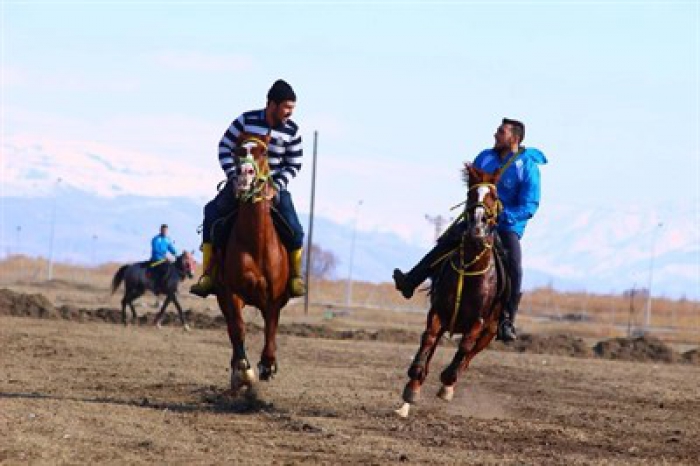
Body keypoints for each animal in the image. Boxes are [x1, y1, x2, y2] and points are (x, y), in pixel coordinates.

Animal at [213, 133, 290, 392]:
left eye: (264, 152)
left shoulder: (274, 297)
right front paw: (244, 371)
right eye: (238, 150)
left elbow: (271, 328)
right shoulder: (231, 292)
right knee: (231, 327)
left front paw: (267, 364)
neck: (255, 243)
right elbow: (238, 328)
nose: (244, 173)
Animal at [394, 165, 508, 418]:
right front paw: (413, 381)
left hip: (490, 330)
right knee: (432, 345)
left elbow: (465, 347)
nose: (477, 228)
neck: (471, 270)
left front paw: (447, 379)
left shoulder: (479, 320)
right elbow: (428, 338)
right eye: (470, 194)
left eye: (494, 196)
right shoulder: (439, 311)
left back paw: (449, 384)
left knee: (470, 354)